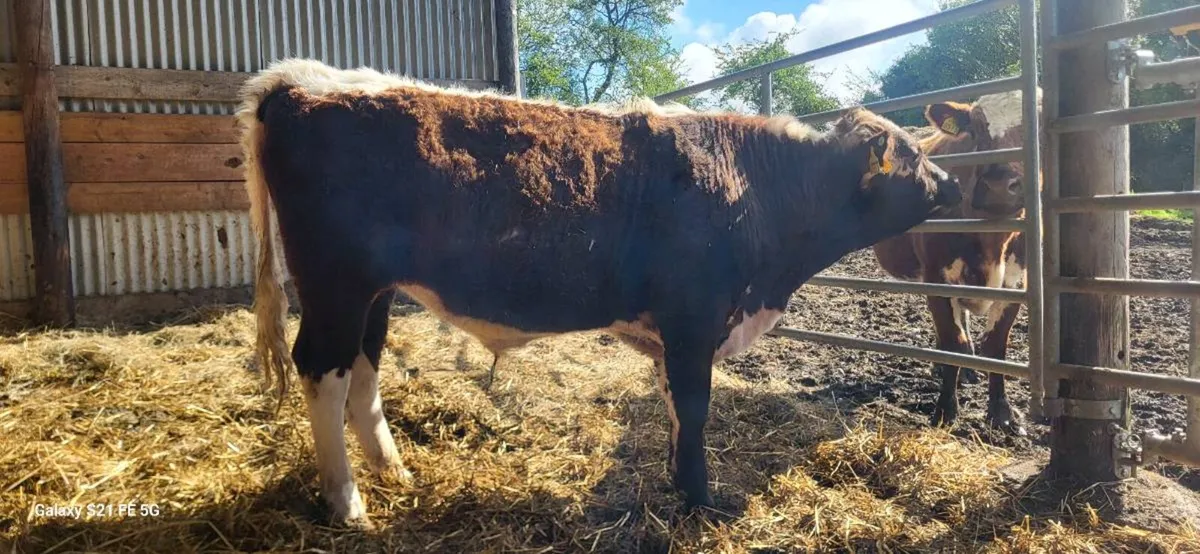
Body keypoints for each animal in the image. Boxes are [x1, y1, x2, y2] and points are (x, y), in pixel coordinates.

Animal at [237, 58, 961, 526]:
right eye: (914, 157)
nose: (954, 183)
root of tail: (301, 81)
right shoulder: (694, 316)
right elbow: (695, 407)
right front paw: (700, 502)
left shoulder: (678, 329)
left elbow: (675, 408)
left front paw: (677, 482)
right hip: (333, 283)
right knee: (322, 371)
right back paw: (347, 503)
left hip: (374, 292)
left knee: (363, 367)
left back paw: (393, 472)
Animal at [872, 89, 1040, 436]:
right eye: (974, 131)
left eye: (1038, 125)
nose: (1000, 185)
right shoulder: (937, 276)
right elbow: (951, 340)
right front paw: (945, 410)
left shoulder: (1017, 281)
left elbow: (996, 345)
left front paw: (1001, 412)